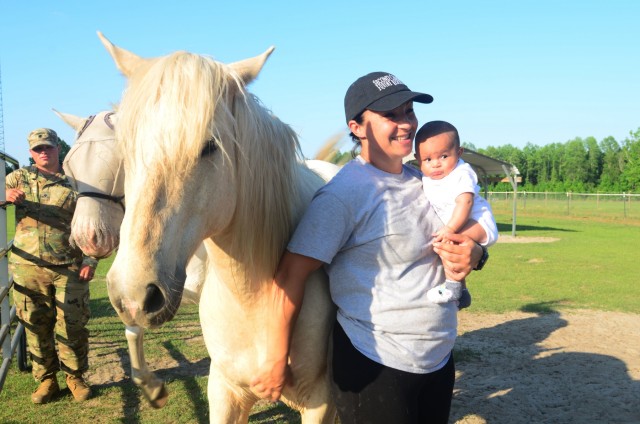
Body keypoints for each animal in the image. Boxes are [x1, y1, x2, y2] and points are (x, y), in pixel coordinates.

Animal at [97, 31, 338, 422]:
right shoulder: (224, 392)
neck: (253, 299)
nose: (134, 295)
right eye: (126, 148)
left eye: (210, 146)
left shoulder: (321, 402)